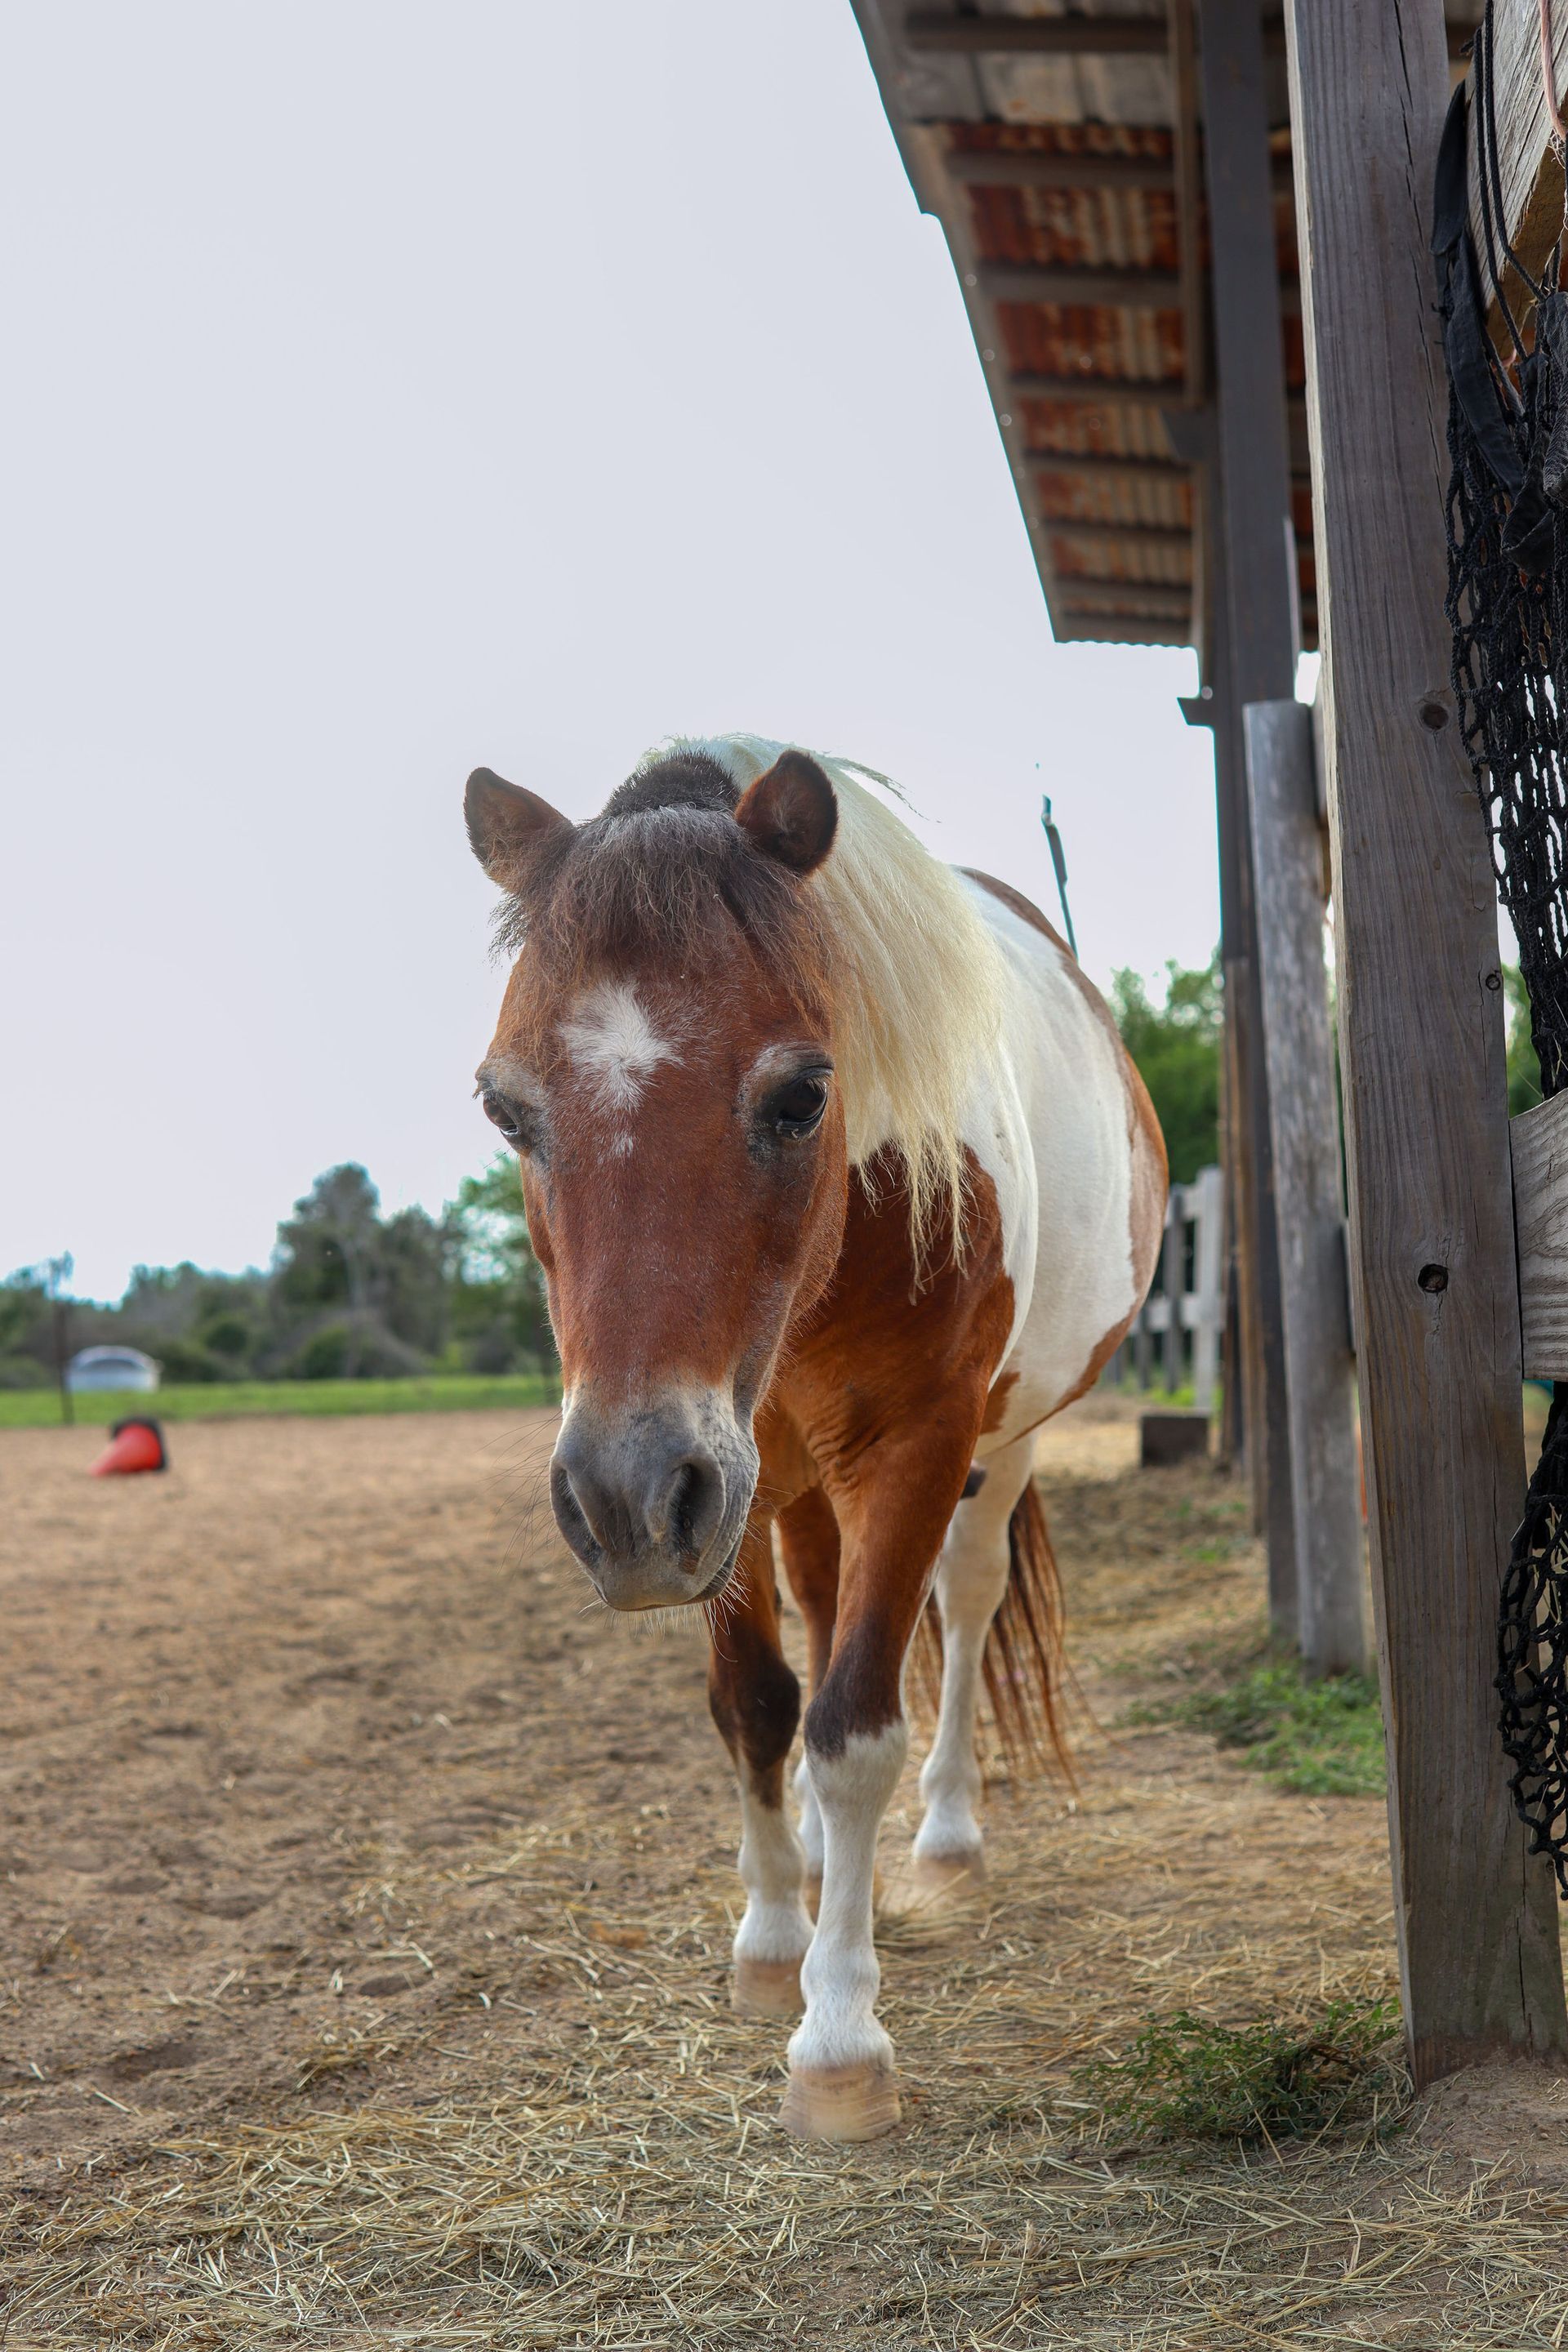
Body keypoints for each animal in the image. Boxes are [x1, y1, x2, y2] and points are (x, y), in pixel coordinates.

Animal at [464, 734, 1165, 2141]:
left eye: (798, 1095)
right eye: (507, 1111)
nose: (617, 1499)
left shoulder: (908, 1451)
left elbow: (854, 1729)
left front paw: (839, 2037)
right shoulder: (719, 1482)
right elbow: (756, 1705)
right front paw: (773, 1938)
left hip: (990, 1450)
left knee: (961, 1608)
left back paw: (942, 1847)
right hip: (767, 1488)